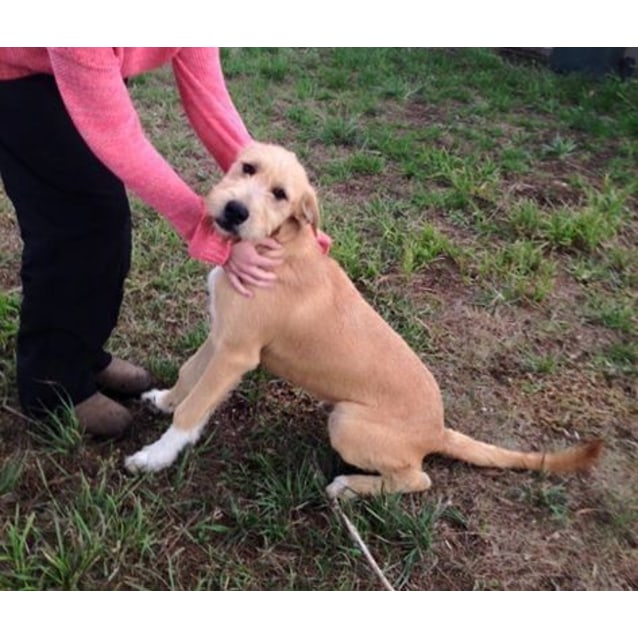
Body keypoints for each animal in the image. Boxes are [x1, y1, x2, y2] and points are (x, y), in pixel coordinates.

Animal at [126, 142, 604, 498]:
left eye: (280, 195)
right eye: (247, 168)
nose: (235, 211)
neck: (275, 244)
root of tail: (437, 431)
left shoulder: (237, 353)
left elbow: (195, 409)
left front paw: (155, 456)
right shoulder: (220, 335)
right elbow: (190, 375)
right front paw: (164, 400)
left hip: (347, 422)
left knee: (417, 478)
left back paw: (350, 486)